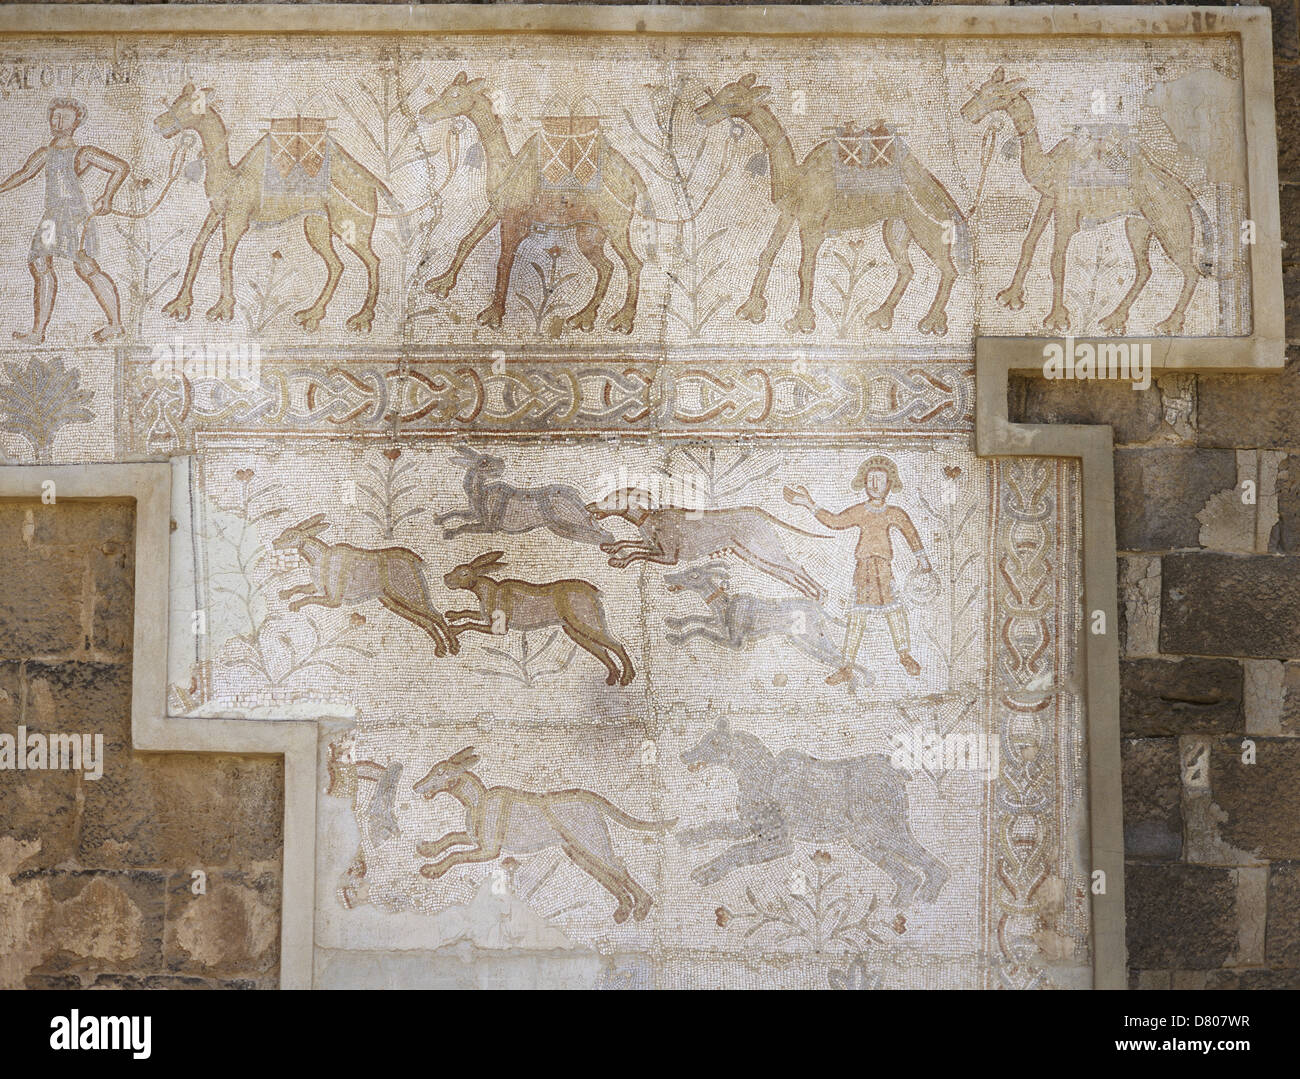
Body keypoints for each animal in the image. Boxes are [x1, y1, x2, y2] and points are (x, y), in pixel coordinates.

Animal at [152, 83, 390, 331]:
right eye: (176, 101)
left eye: (190, 106)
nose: (158, 123)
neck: (231, 178)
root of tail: (373, 182)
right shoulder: (217, 212)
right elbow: (196, 247)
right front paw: (179, 305)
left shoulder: (238, 218)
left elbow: (224, 254)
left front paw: (222, 310)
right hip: (317, 223)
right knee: (337, 264)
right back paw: (310, 315)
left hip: (350, 222)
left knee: (373, 260)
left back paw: (361, 319)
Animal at [271, 514, 460, 660]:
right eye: (284, 533)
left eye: (290, 536)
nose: (274, 543)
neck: (320, 558)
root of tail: (415, 560)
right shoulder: (318, 587)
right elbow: (300, 587)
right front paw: (284, 594)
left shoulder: (334, 600)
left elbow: (309, 597)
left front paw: (294, 605)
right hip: (391, 600)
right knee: (425, 620)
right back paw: (441, 649)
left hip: (408, 591)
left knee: (435, 615)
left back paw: (453, 647)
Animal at [418, 73, 650, 332]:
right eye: (444, 91)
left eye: (456, 95)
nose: (424, 113)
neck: (506, 169)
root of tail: (632, 176)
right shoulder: (497, 210)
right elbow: (467, 241)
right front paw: (440, 285)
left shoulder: (515, 220)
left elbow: (504, 262)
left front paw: (493, 315)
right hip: (589, 231)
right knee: (606, 266)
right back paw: (583, 318)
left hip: (615, 224)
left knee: (634, 263)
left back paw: (622, 321)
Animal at [696, 72, 972, 332]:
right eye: (722, 91)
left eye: (734, 99)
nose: (700, 113)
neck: (797, 177)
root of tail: (946, 201)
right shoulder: (789, 214)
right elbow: (767, 254)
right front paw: (751, 309)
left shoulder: (813, 226)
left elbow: (805, 267)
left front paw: (802, 322)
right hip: (896, 227)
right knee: (907, 269)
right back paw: (879, 318)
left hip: (929, 228)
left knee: (949, 270)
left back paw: (931, 323)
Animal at [956, 66, 1216, 332]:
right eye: (981, 89)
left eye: (998, 95)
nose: (965, 113)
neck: (1048, 165)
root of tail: (1189, 198)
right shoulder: (1048, 199)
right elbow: (1029, 243)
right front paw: (1010, 297)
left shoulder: (1067, 210)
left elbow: (1056, 258)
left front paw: (1056, 320)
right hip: (1139, 224)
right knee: (1145, 269)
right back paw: (1114, 320)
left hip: (1171, 225)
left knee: (1191, 271)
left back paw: (1169, 324)